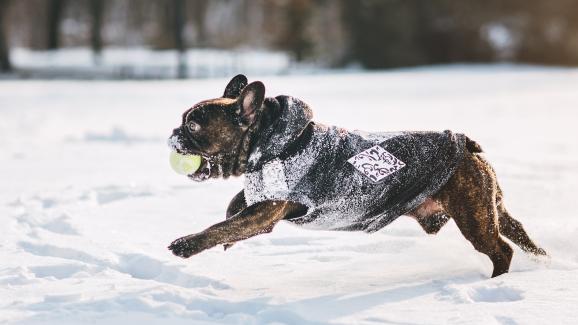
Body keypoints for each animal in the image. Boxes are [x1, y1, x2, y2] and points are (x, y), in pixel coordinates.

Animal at [166, 74, 544, 276]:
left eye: (194, 126)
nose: (174, 132)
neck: (269, 141)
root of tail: (466, 145)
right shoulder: (262, 199)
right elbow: (235, 206)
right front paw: (228, 234)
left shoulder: (266, 211)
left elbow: (223, 226)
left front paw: (186, 245)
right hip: (488, 207)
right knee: (517, 232)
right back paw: (541, 260)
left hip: (473, 217)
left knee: (500, 250)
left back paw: (496, 279)